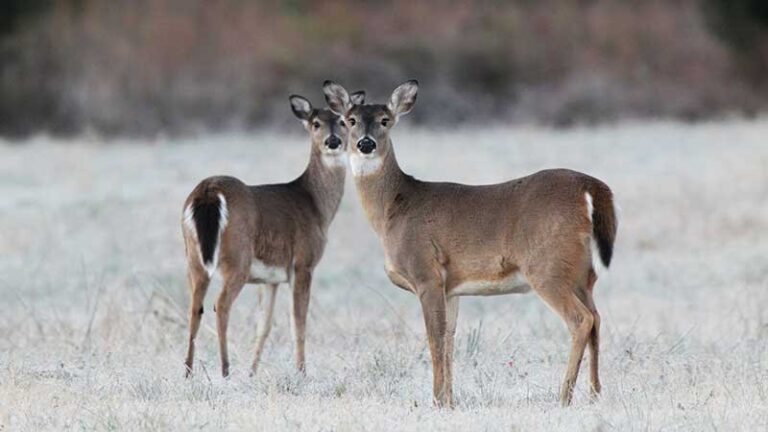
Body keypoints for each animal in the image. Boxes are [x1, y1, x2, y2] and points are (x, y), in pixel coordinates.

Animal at [181, 90, 365, 378]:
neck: (316, 205)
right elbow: (298, 322)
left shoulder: (270, 279)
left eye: (343, 122)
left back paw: (188, 371)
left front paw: (252, 372)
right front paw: (301, 372)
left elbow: (264, 326)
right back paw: (225, 369)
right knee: (220, 305)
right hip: (237, 258)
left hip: (193, 258)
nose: (333, 141)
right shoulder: (303, 263)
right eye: (315, 123)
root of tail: (208, 191)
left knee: (194, 307)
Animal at [323, 80, 618, 407]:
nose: (366, 144)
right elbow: (449, 339)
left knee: (581, 319)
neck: (393, 209)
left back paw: (564, 396)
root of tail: (590, 186)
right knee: (597, 318)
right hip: (582, 274)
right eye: (350, 120)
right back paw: (594, 393)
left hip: (547, 267)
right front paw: (450, 401)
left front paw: (436, 400)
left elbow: (434, 338)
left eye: (385, 120)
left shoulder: (426, 274)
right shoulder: (450, 288)